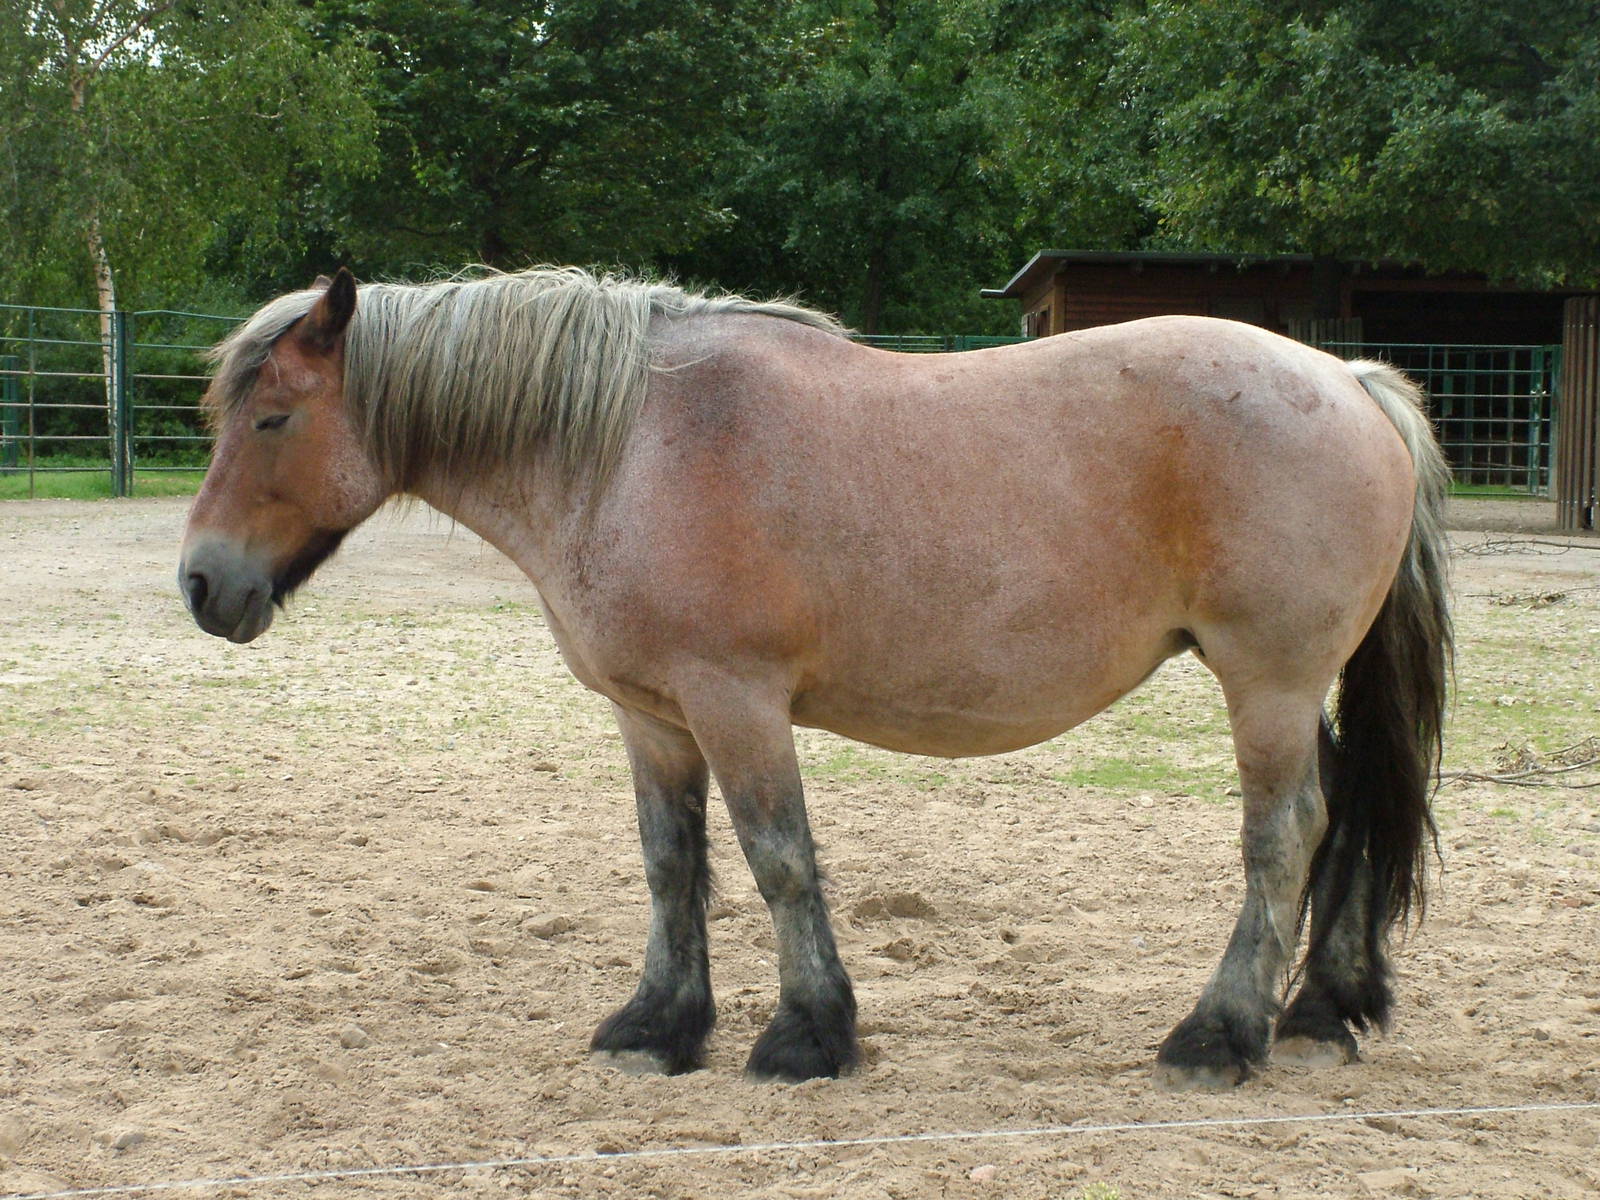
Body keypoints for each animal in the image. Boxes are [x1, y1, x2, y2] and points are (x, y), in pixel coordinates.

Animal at [178, 266, 1451, 1090]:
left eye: (274, 417)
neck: (629, 447)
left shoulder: (735, 703)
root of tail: (1348, 380)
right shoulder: (653, 719)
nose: (200, 585)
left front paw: (805, 1037)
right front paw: (658, 1026)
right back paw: (1322, 1009)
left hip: (1268, 685)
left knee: (1284, 835)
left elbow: (777, 860)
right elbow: (670, 866)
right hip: (1292, 688)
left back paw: (1220, 1035)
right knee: (1345, 814)